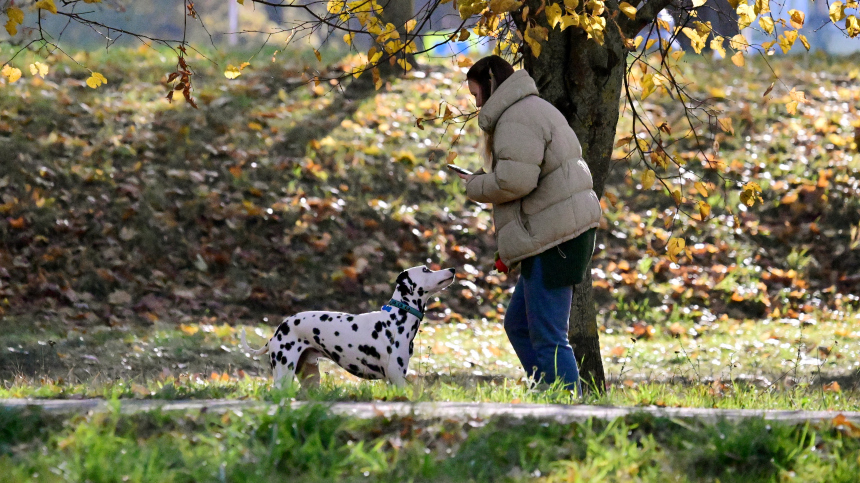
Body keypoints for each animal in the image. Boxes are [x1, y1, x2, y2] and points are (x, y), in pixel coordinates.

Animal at [240, 266, 456, 388]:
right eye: (426, 270)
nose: (453, 269)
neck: (396, 319)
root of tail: (277, 331)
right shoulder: (396, 377)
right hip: (284, 373)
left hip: (310, 378)